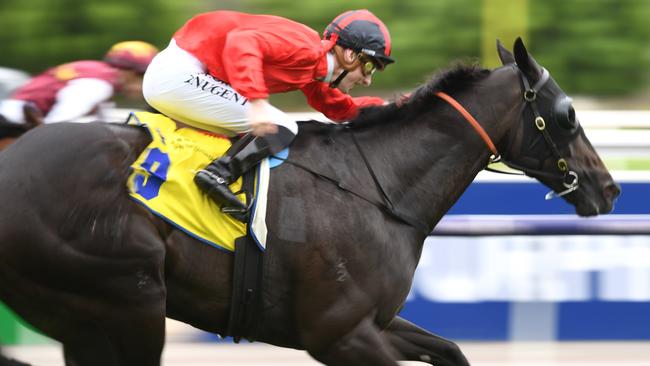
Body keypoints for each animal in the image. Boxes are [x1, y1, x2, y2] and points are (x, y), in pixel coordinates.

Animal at [0, 38, 616, 364]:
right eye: (567, 114)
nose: (609, 188)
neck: (379, 184)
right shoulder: (339, 334)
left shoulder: (372, 322)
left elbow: (452, 350)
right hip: (126, 299)